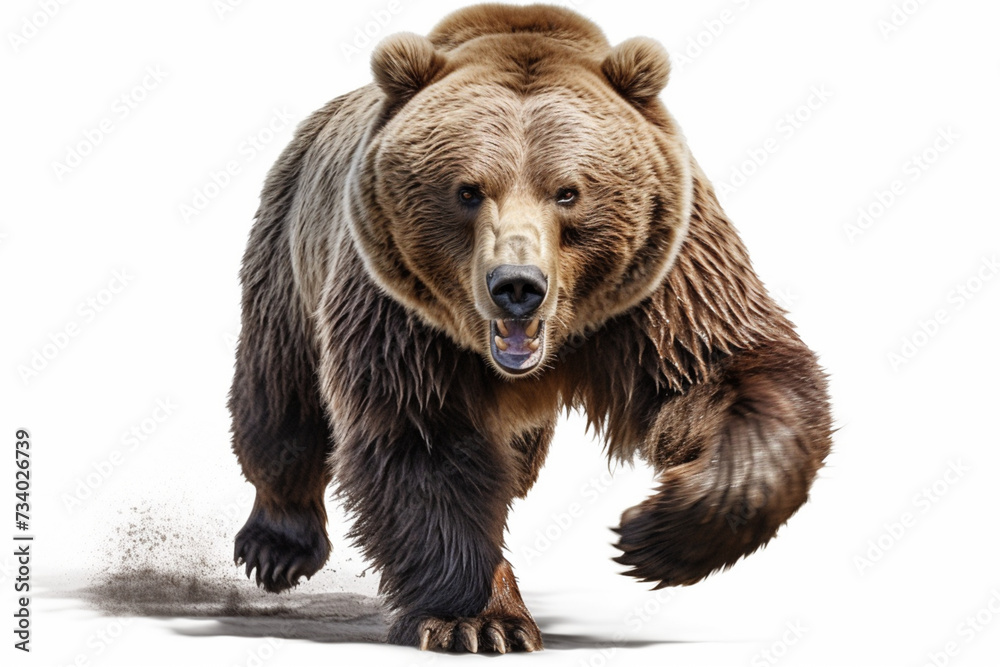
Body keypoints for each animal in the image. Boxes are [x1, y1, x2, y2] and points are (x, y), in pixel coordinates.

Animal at [229, 2, 832, 654]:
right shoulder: (399, 309)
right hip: (290, 253)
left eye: (568, 191)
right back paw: (277, 545)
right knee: (280, 397)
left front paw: (649, 535)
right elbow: (423, 438)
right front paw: (478, 620)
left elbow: (727, 373)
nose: (517, 285)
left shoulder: (664, 280)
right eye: (467, 191)